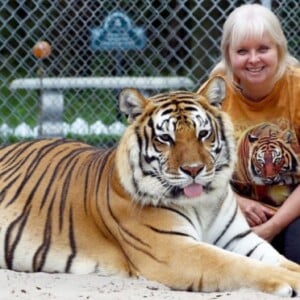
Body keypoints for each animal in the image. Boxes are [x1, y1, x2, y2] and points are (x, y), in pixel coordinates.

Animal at [0, 76, 300, 296]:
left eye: (203, 133)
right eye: (165, 138)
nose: (194, 170)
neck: (202, 203)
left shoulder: (239, 239)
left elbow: (281, 261)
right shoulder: (174, 250)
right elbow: (239, 265)